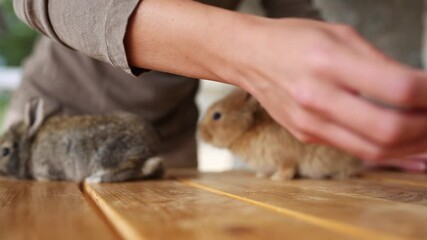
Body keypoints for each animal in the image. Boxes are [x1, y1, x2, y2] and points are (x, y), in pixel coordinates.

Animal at [0, 99, 164, 182]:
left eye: (5, 151)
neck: (29, 148)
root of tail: (151, 148)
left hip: (108, 154)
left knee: (133, 169)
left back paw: (95, 178)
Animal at [199, 89, 362, 180]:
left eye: (217, 115)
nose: (201, 135)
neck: (249, 127)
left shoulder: (285, 157)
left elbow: (287, 168)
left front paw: (277, 178)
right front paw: (262, 175)